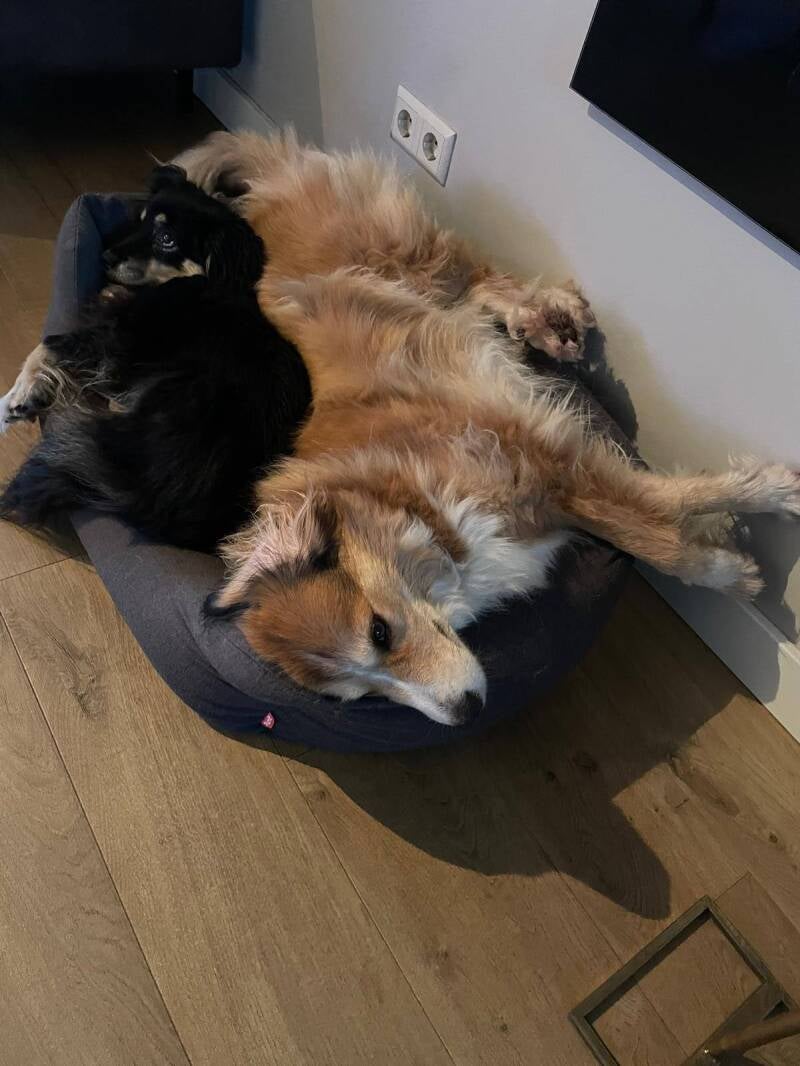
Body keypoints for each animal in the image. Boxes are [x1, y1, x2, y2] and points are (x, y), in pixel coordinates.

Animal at [0, 165, 311, 551]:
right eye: (141, 219)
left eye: (166, 239)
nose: (105, 256)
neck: (203, 279)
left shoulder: (116, 340)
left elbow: (46, 345)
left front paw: (16, 400)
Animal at [169, 130, 800, 727]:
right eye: (361, 694)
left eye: (379, 632)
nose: (467, 713)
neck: (410, 507)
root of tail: (267, 182)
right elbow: (652, 526)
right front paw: (731, 554)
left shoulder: (555, 460)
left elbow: (660, 527)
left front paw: (753, 529)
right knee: (478, 288)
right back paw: (542, 324)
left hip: (398, 253)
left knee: (474, 269)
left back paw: (554, 314)